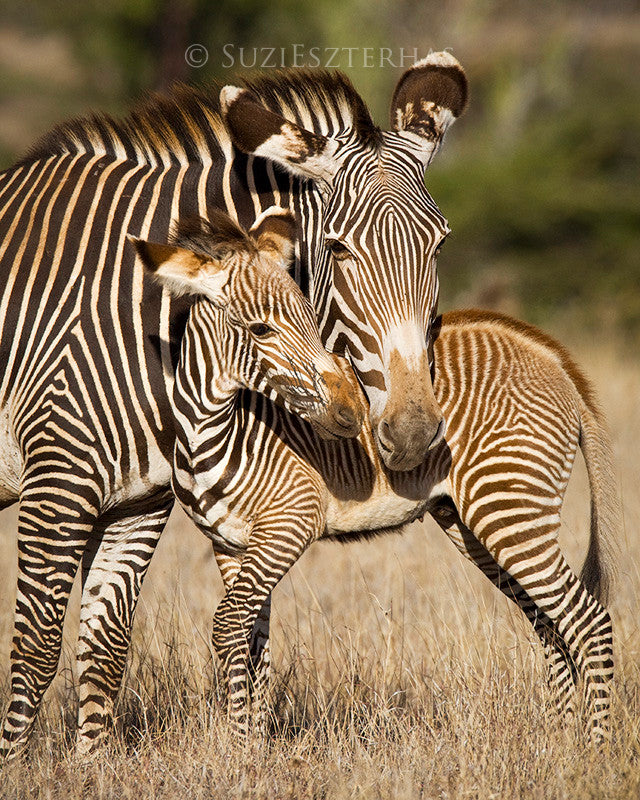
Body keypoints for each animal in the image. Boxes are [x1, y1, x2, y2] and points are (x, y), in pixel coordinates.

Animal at [0, 52, 467, 756]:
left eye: (439, 244)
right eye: (337, 248)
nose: (413, 432)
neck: (155, 323)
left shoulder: (140, 499)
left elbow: (106, 646)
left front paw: (89, 767)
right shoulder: (57, 481)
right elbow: (35, 646)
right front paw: (22, 767)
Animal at [145, 214, 617, 742]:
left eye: (310, 320)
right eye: (260, 329)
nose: (352, 413)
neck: (215, 430)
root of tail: (552, 355)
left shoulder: (289, 524)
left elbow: (229, 626)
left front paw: (238, 745)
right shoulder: (230, 543)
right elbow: (251, 640)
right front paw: (249, 742)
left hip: (510, 508)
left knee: (588, 621)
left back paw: (593, 747)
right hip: (474, 521)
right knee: (551, 625)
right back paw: (559, 738)